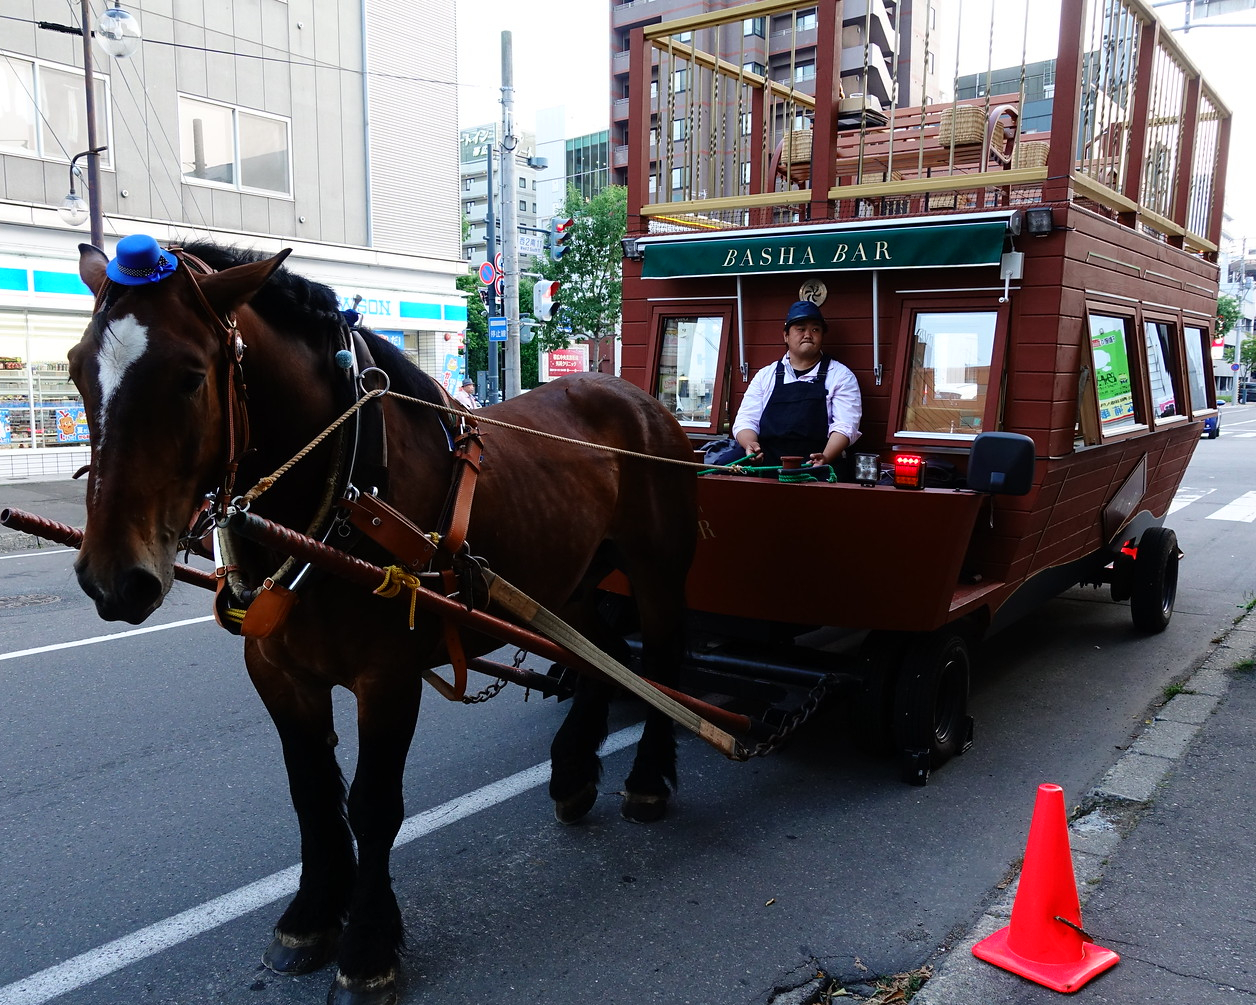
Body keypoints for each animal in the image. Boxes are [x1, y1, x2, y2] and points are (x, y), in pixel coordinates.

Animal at [68, 239, 698, 999]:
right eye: (77, 369)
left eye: (190, 377)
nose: (113, 577)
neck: (343, 492)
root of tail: (636, 396)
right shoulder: (277, 671)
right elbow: (311, 792)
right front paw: (311, 915)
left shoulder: (388, 676)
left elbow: (373, 804)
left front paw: (368, 945)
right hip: (567, 579)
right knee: (601, 650)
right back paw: (575, 771)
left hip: (655, 568)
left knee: (659, 663)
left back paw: (647, 779)